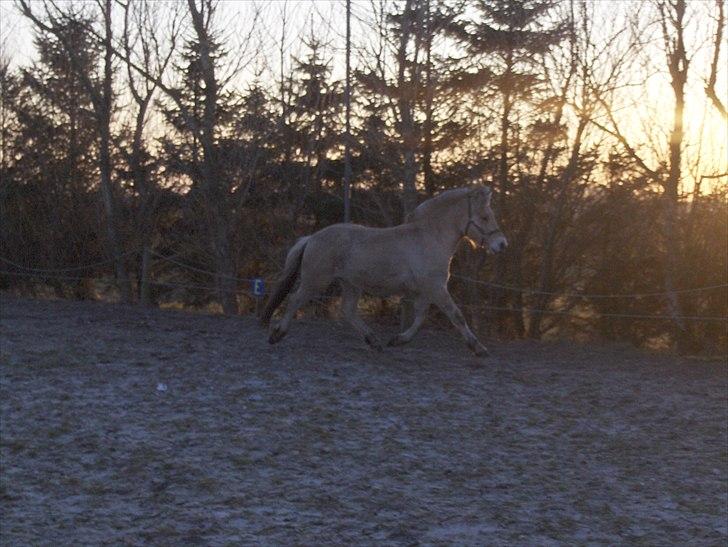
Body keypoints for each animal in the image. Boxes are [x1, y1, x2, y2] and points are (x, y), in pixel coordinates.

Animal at [260, 185, 506, 356]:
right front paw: (479, 348)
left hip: (350, 284)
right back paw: (277, 334)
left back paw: (374, 341)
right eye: (485, 217)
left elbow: (420, 318)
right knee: (295, 300)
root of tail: (312, 238)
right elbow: (457, 316)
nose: (501, 244)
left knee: (348, 311)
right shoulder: (436, 288)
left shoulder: (426, 291)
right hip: (316, 281)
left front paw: (398, 340)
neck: (429, 238)